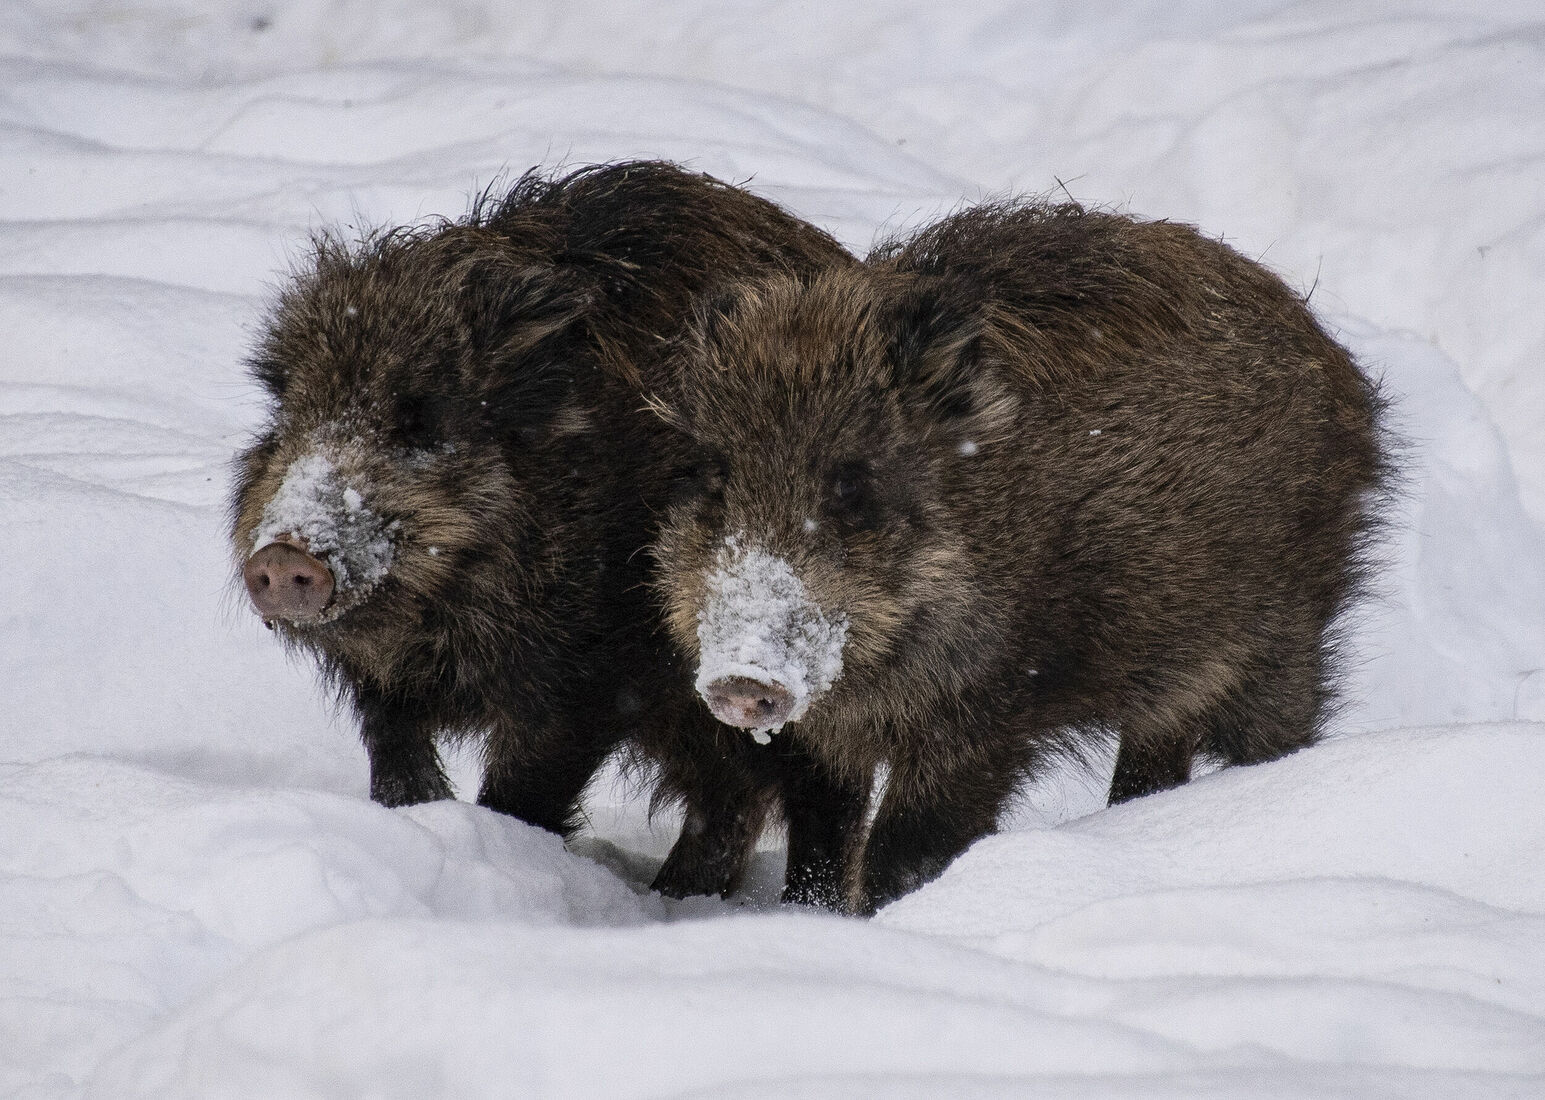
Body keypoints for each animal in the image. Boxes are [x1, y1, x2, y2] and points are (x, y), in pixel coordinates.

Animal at [230, 161, 852, 895]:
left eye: (421, 419)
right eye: (291, 414)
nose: (282, 556)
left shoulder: (587, 682)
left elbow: (525, 792)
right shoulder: (383, 684)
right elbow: (397, 760)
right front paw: (420, 817)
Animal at [650, 198, 1391, 914]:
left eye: (853, 486)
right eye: (713, 477)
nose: (741, 680)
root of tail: (1340, 370)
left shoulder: (987, 713)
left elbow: (906, 848)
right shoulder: (827, 741)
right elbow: (830, 833)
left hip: (1283, 636)